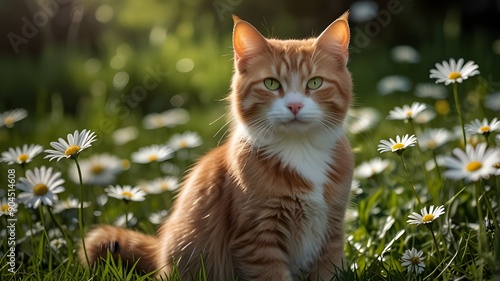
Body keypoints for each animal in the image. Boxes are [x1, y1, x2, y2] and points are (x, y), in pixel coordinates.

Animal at [80, 12, 354, 278]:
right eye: (271, 84)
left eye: (315, 83)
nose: (295, 105)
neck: (301, 150)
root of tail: (159, 251)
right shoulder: (257, 238)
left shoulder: (331, 234)